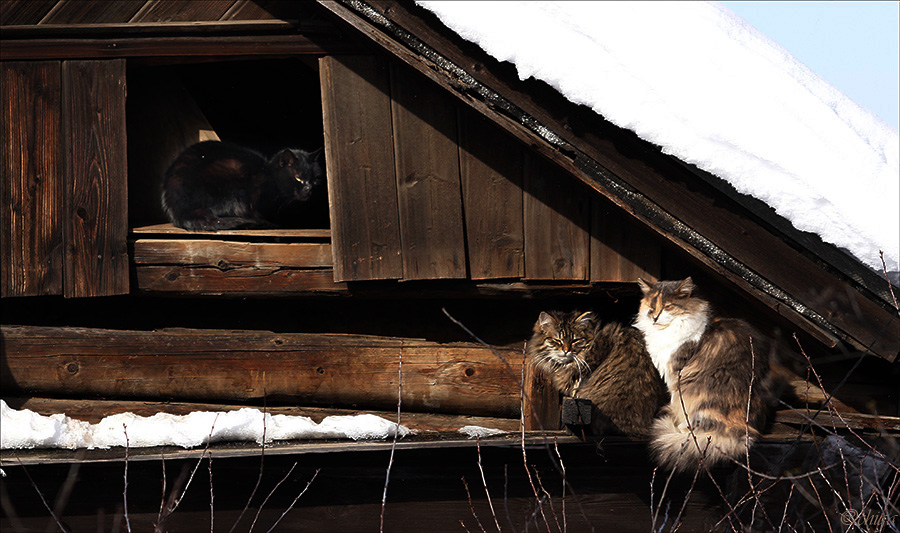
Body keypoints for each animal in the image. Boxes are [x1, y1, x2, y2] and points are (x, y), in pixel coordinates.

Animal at [636, 278, 776, 470]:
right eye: (651, 307)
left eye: (668, 306)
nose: (654, 317)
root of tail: (747, 431)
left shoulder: (675, 375)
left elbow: (676, 402)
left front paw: (676, 422)